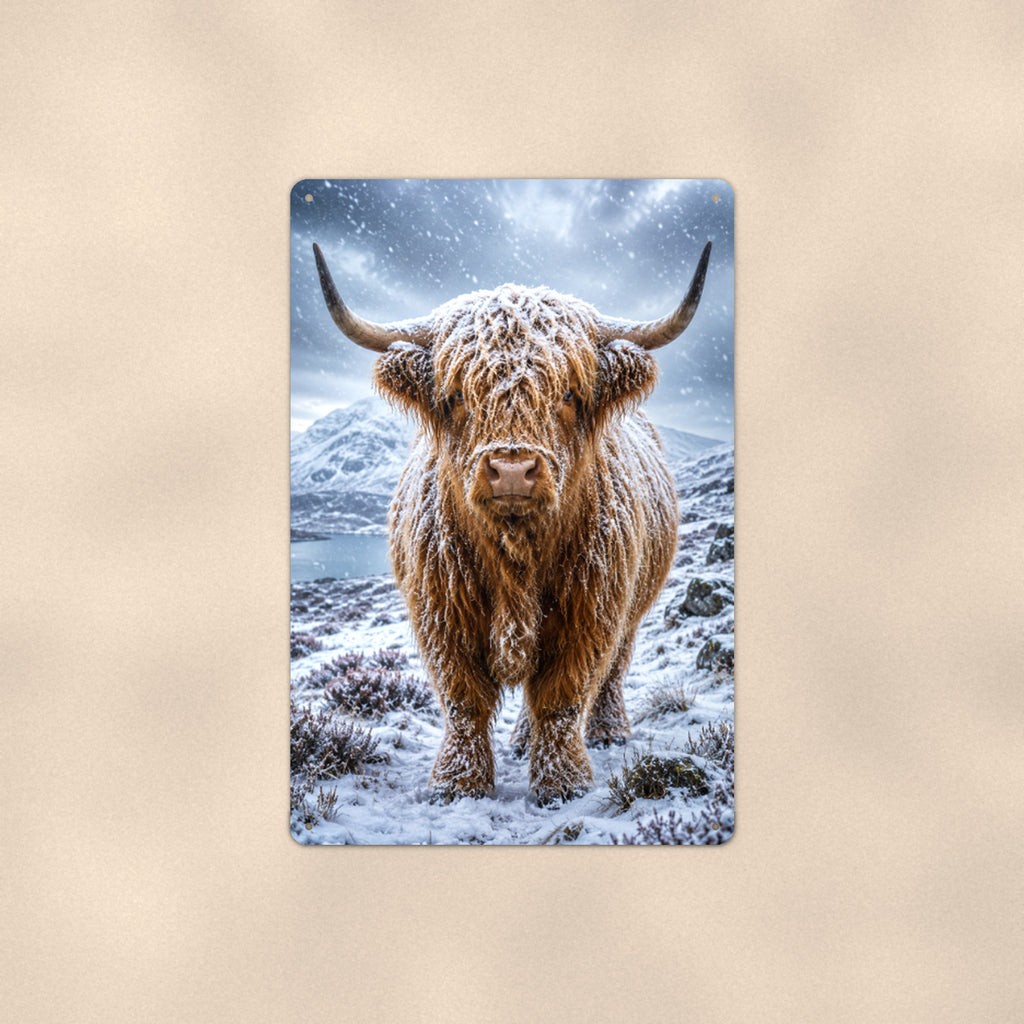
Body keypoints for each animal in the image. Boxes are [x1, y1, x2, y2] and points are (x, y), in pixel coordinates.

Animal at [313, 240, 711, 803]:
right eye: (457, 395)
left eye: (569, 394)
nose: (512, 471)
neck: (516, 554)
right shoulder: (442, 614)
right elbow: (464, 701)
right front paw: (459, 785)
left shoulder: (590, 612)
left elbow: (562, 697)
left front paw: (563, 784)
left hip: (631, 608)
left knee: (611, 671)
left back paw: (607, 730)